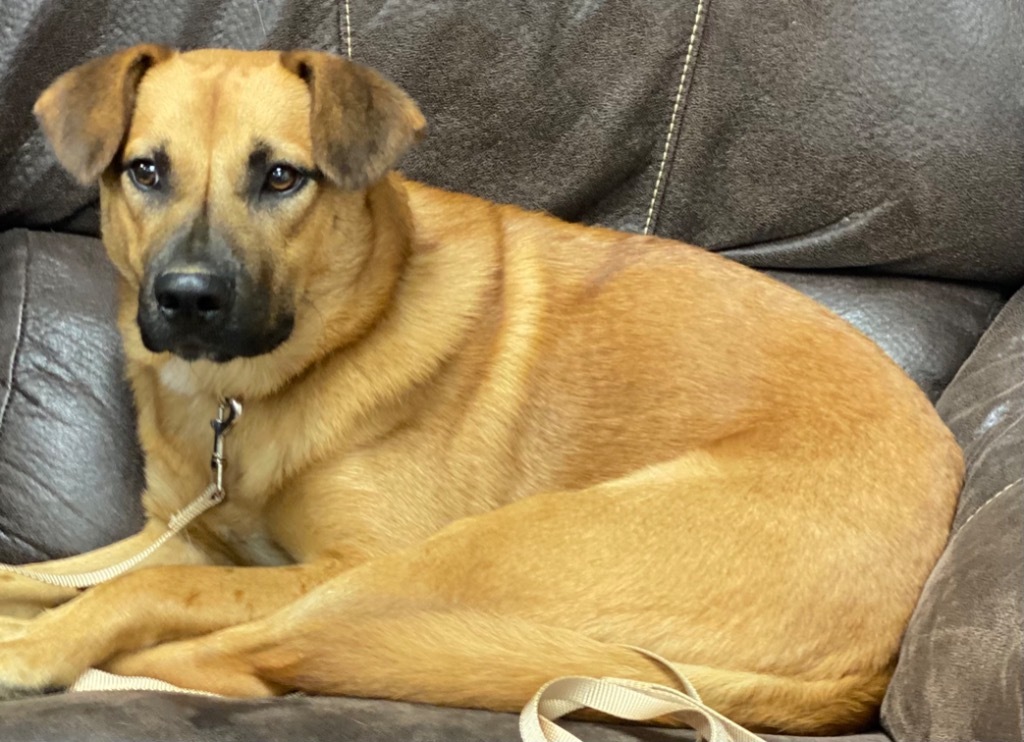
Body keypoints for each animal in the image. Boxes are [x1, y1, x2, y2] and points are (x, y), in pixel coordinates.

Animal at [0, 46, 958, 736]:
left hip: (463, 553)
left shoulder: (328, 561)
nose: (188, 299)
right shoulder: (178, 534)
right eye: (145, 172)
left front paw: (41, 646)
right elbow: (52, 573)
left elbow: (150, 593)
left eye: (280, 177)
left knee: (262, 656)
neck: (252, 390)